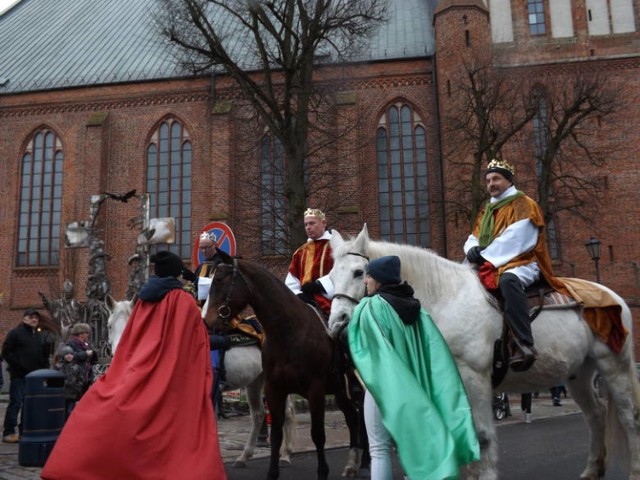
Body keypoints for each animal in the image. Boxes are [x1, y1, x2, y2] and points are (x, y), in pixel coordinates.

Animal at [105, 294, 296, 466]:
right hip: (255, 381)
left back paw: (285, 454)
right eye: (109, 326)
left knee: (285, 412)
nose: (118, 355)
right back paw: (244, 457)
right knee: (258, 414)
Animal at [202, 253, 368, 478]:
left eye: (219, 280)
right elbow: (276, 433)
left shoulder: (315, 390)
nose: (207, 321)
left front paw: (322, 471)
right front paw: (273, 472)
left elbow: (318, 434)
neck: (289, 333)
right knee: (352, 417)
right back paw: (352, 463)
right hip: (335, 390)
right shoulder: (275, 388)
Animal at [330, 225, 640, 480]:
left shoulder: (474, 378)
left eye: (359, 272)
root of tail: (614, 297)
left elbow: (482, 435)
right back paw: (592, 470)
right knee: (596, 414)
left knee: (629, 417)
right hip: (579, 374)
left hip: (615, 366)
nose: (337, 323)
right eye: (330, 276)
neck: (447, 297)